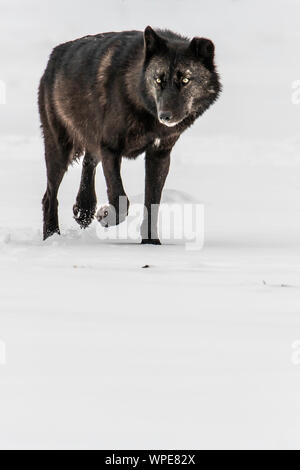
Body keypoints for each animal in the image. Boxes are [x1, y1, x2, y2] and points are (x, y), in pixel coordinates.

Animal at [38, 27, 220, 244]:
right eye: (158, 80)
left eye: (185, 80)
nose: (165, 116)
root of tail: (54, 54)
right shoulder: (110, 149)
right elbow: (120, 198)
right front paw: (106, 217)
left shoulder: (159, 155)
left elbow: (152, 203)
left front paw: (151, 242)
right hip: (60, 149)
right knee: (49, 196)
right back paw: (51, 236)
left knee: (88, 161)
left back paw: (84, 210)